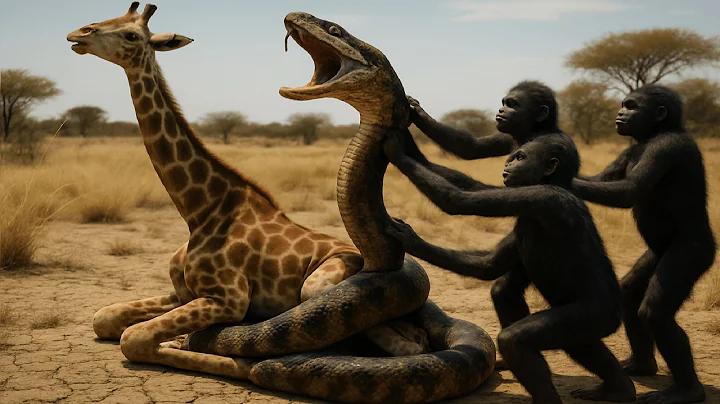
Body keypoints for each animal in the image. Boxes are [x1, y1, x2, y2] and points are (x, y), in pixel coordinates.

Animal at [67, 2, 427, 379]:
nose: (79, 34)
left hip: (316, 286)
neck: (198, 210)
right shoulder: (182, 292)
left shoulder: (228, 299)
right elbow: (104, 318)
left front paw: (202, 349)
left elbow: (134, 338)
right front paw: (178, 339)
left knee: (410, 344)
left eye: (130, 35)